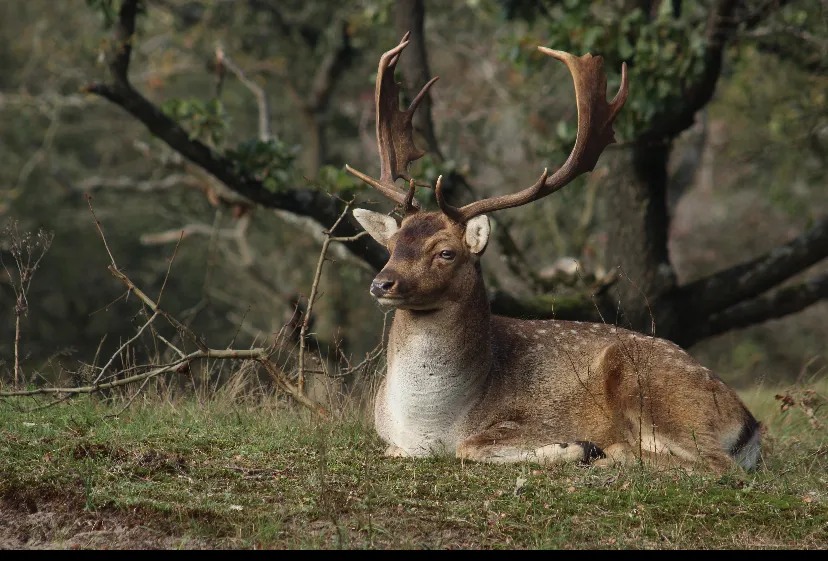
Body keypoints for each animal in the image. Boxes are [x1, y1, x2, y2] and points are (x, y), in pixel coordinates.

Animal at [345, 34, 761, 473]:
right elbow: (394, 450)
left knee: (716, 465)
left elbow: (473, 447)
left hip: (655, 390)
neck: (429, 429)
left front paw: (573, 446)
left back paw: (605, 455)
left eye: (445, 253)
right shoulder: (390, 441)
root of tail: (750, 423)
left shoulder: (534, 419)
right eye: (391, 245)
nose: (381, 283)